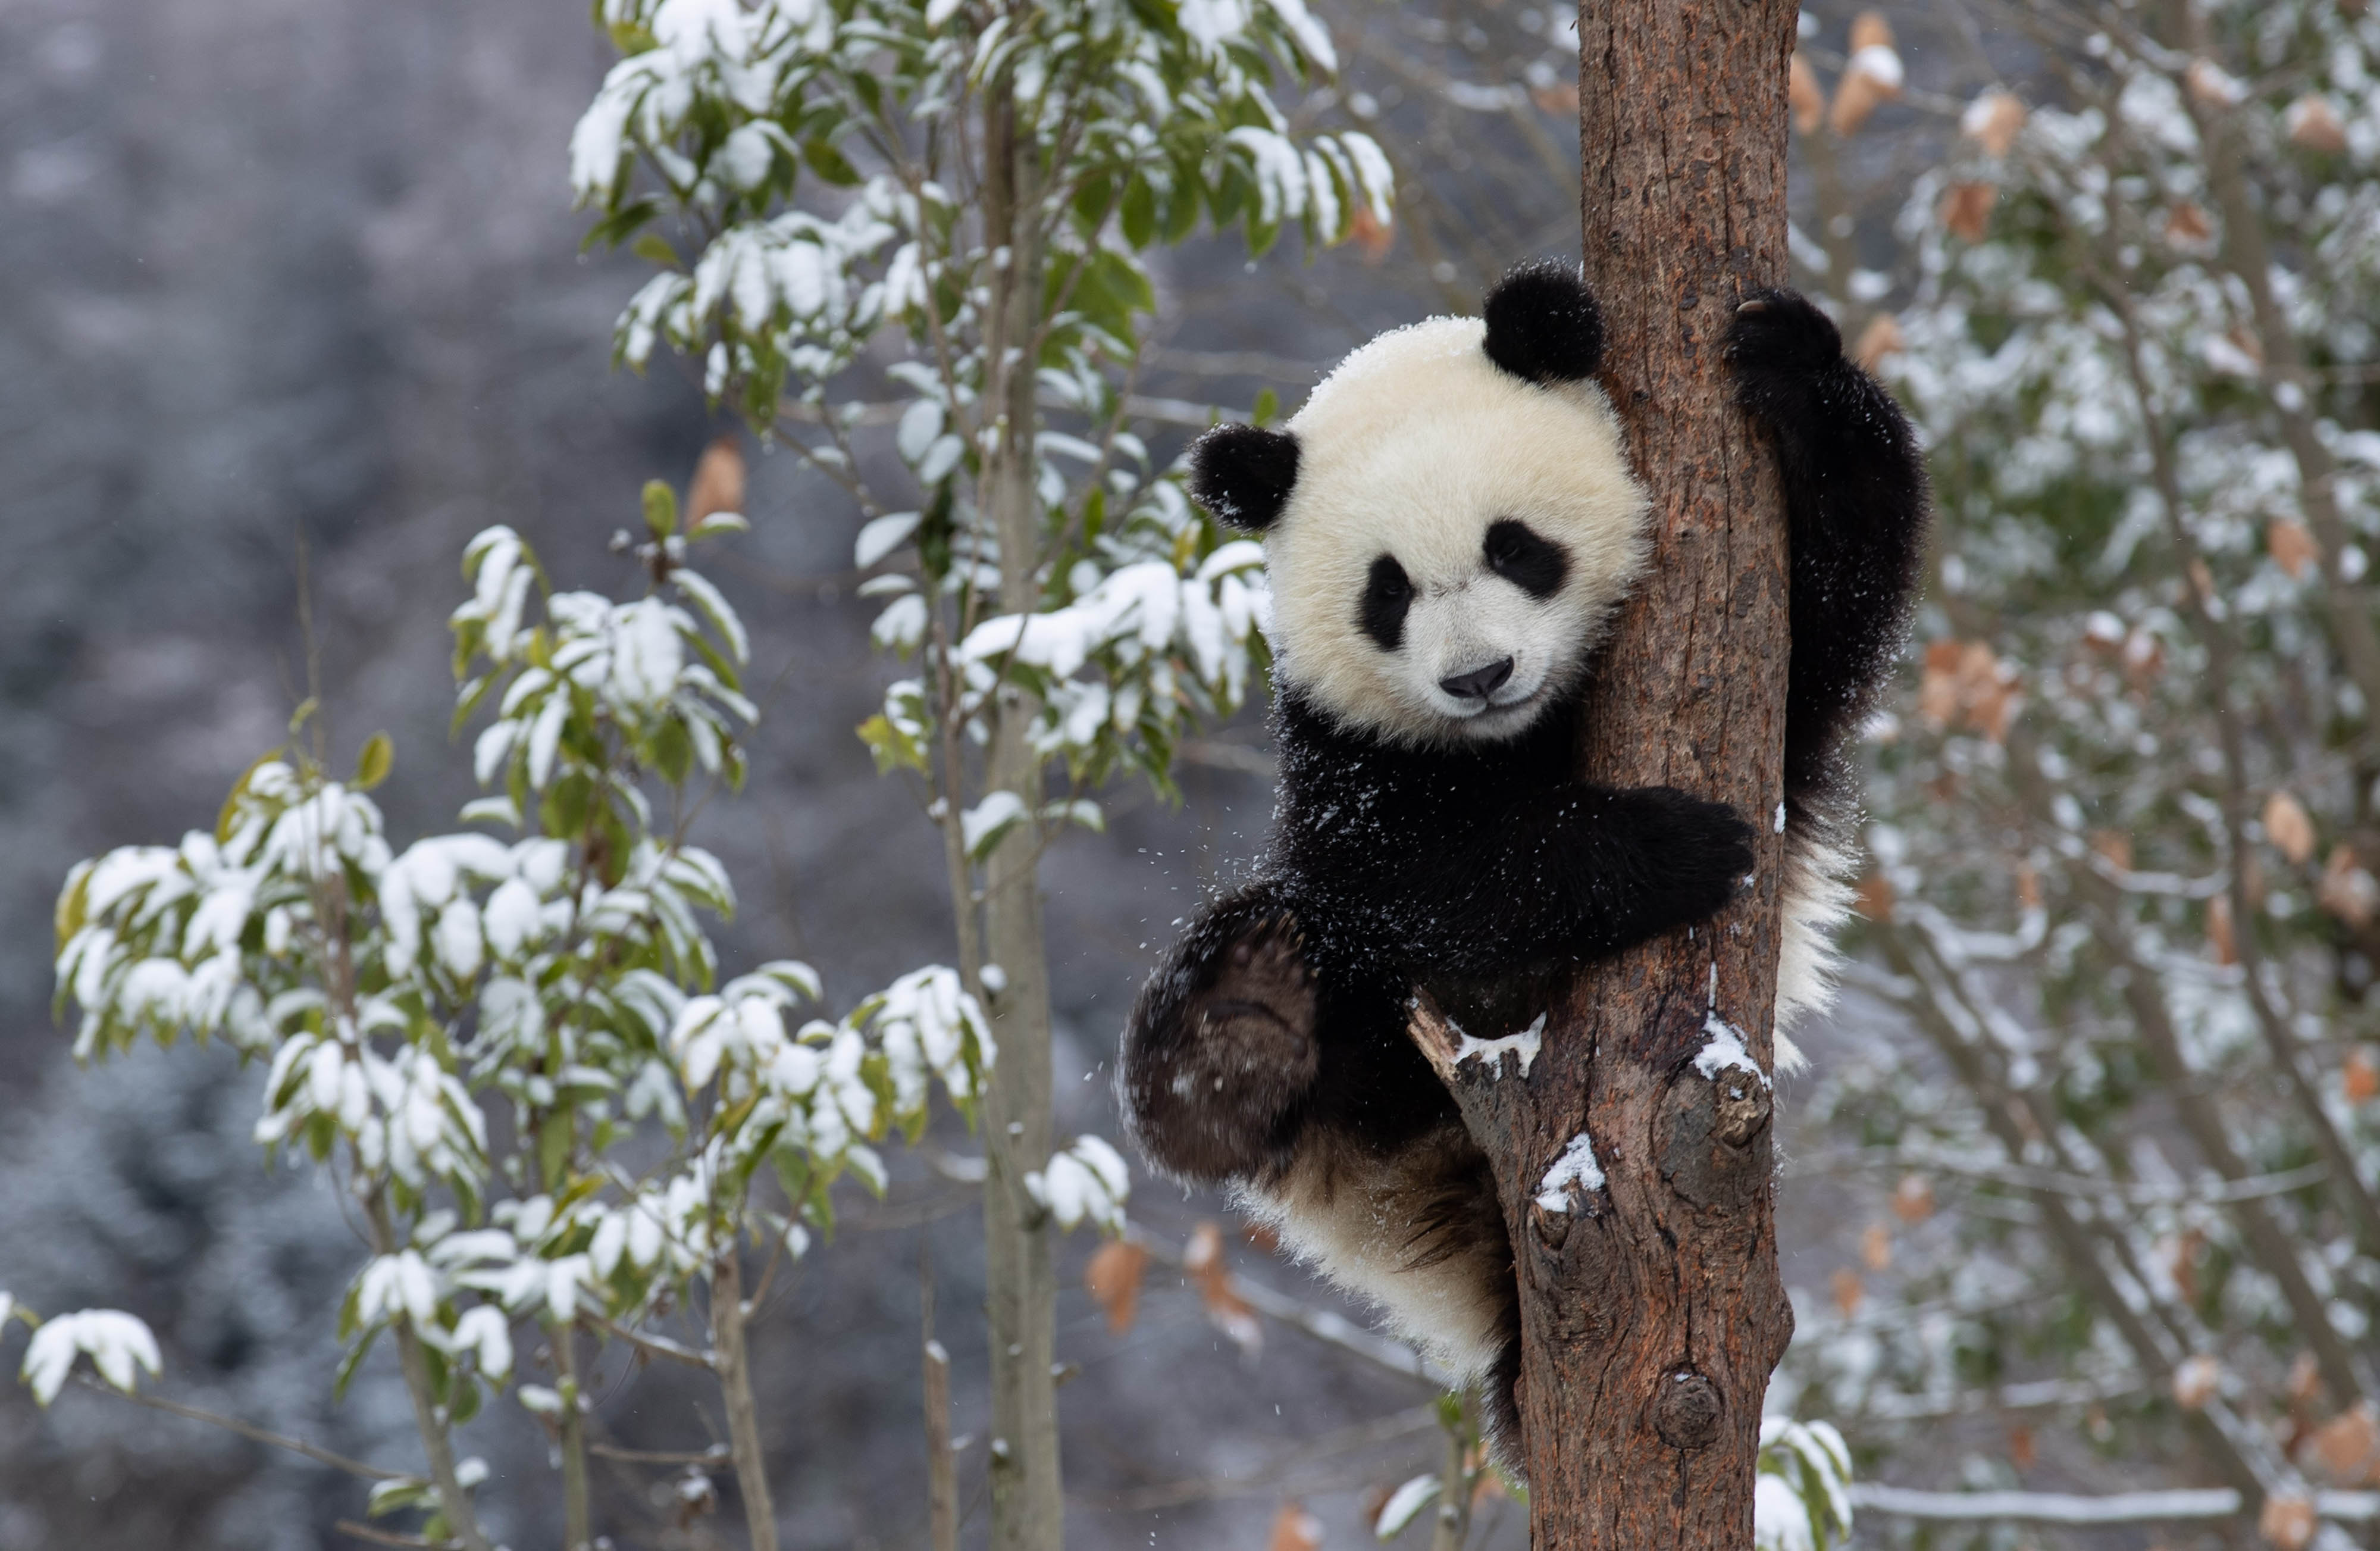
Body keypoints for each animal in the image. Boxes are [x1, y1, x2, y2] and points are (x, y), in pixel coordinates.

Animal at [1119, 260, 1933, 1456]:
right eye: (1388, 590)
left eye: (1514, 546)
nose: (1479, 675)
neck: (1519, 738)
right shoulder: (1344, 751)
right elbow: (1417, 877)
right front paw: (1677, 847)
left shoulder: (1780, 675)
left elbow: (1837, 589)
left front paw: (1789, 359)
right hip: (1366, 1062)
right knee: (1263, 1014)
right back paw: (1235, 1029)